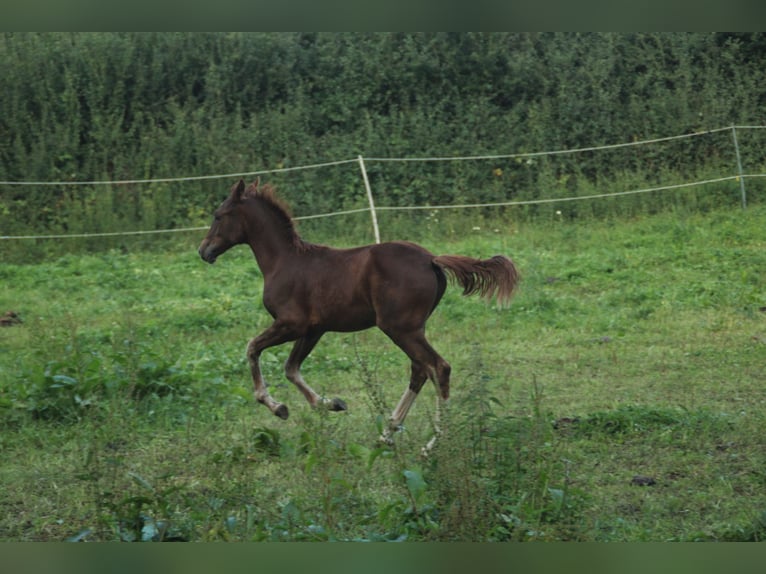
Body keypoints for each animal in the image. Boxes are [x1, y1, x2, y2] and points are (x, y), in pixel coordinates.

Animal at [198, 179, 520, 446]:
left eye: (218, 215)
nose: (203, 251)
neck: (284, 261)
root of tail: (431, 259)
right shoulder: (314, 329)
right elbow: (291, 368)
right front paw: (330, 404)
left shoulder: (292, 324)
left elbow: (253, 348)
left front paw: (277, 407)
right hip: (412, 329)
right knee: (420, 370)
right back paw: (387, 433)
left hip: (399, 328)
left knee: (438, 368)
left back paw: (433, 444)